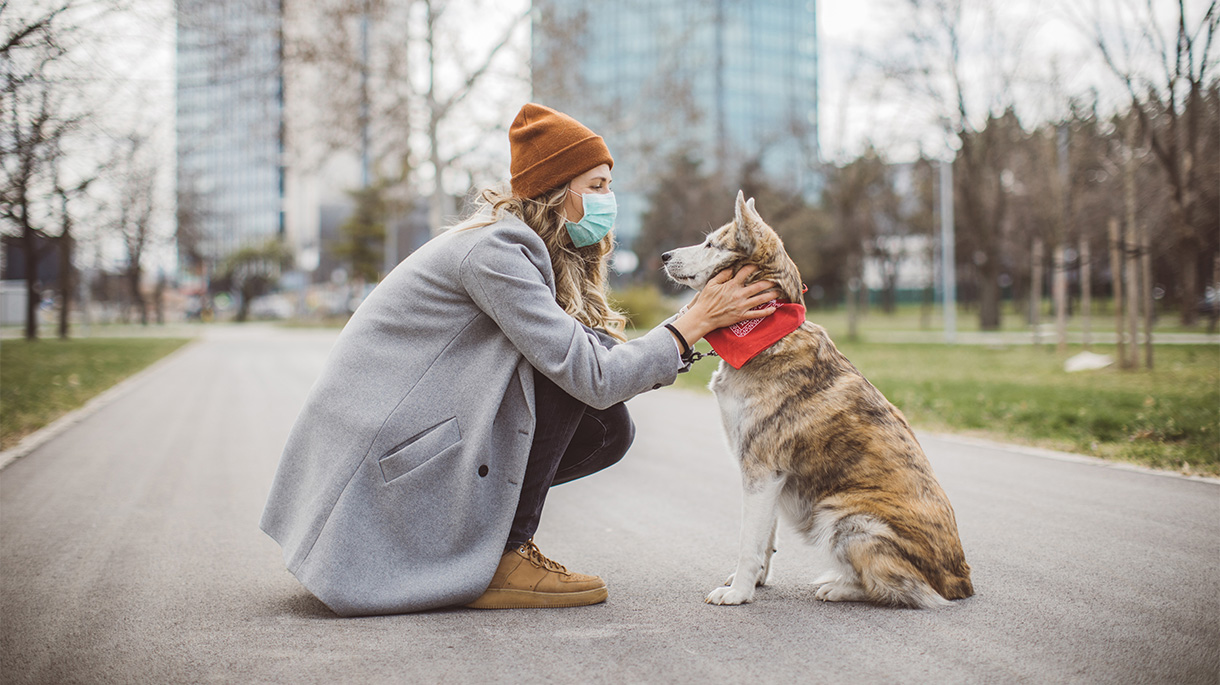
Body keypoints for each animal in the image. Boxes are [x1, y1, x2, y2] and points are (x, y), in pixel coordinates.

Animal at [663, 189, 976, 605]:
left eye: (712, 244)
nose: (664, 256)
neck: (766, 331)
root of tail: (961, 582)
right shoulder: (771, 479)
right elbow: (765, 539)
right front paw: (753, 583)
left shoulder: (761, 470)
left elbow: (748, 541)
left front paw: (739, 593)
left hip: (844, 516)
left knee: (901, 588)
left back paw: (838, 586)